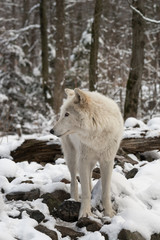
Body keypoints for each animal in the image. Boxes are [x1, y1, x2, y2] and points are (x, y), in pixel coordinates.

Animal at [50, 88, 124, 219]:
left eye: (67, 114)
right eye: (62, 113)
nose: (51, 130)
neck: (98, 133)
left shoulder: (107, 161)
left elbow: (105, 191)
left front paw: (109, 213)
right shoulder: (83, 160)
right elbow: (85, 192)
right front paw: (85, 213)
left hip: (91, 162)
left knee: (88, 179)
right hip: (72, 158)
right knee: (74, 181)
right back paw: (73, 200)